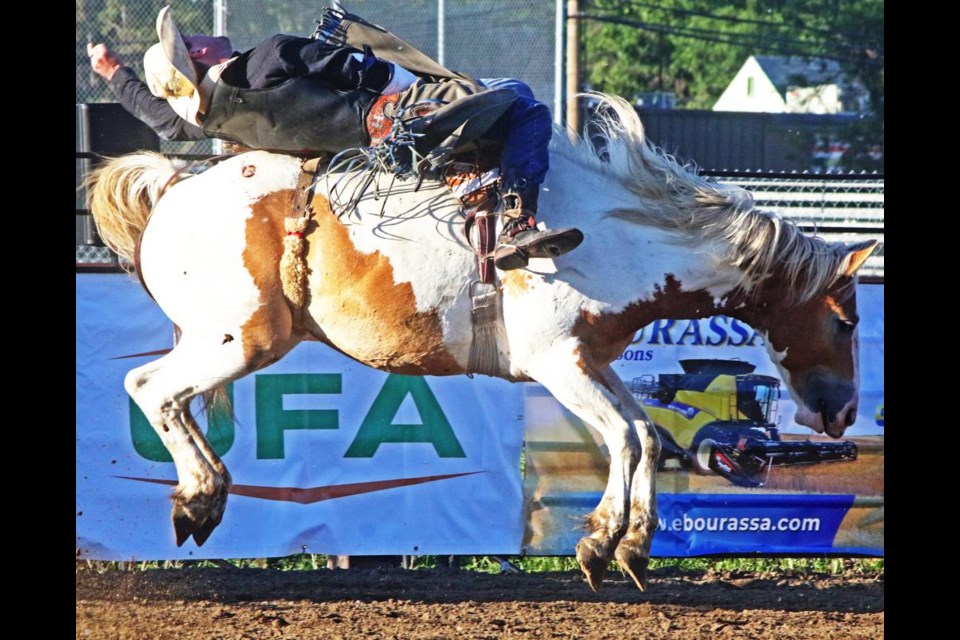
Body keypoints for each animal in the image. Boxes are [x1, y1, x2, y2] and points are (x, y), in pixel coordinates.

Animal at [90, 94, 876, 592]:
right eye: (846, 320)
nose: (841, 412)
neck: (621, 236)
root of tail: (175, 185)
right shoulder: (557, 363)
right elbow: (624, 438)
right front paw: (601, 541)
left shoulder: (592, 362)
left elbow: (646, 435)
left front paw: (628, 546)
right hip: (238, 339)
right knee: (147, 389)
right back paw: (199, 498)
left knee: (162, 396)